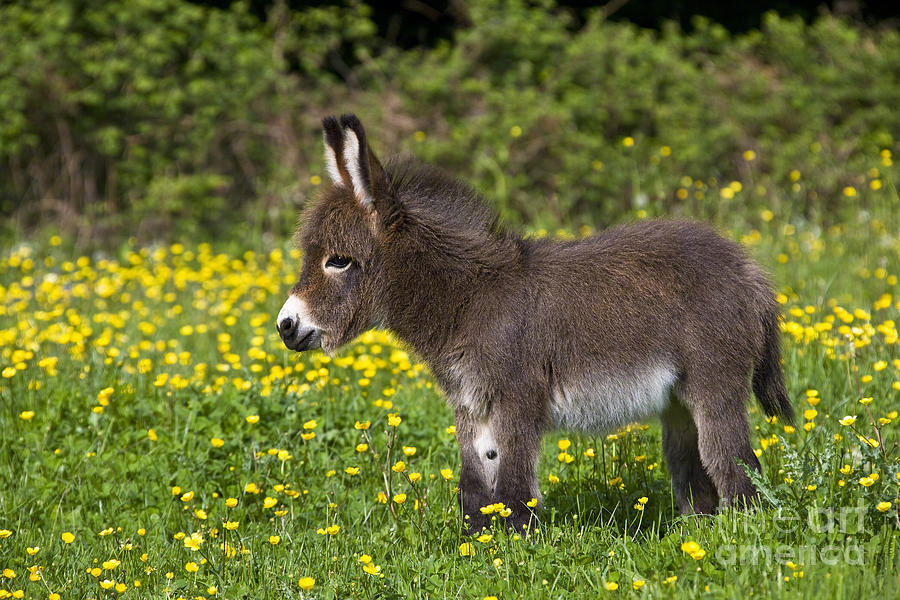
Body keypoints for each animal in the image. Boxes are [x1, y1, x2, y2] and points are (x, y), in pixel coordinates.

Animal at [276, 115, 796, 532]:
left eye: (338, 261)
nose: (285, 325)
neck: (470, 301)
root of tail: (747, 268)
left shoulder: (517, 401)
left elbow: (513, 489)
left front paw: (515, 549)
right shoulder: (470, 406)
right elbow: (475, 486)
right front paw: (477, 547)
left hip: (714, 386)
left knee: (735, 468)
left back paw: (742, 538)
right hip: (678, 403)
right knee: (696, 474)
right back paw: (696, 538)